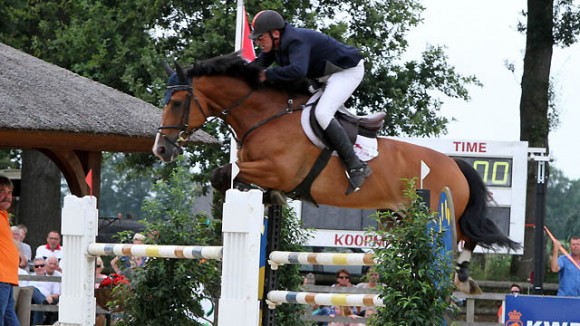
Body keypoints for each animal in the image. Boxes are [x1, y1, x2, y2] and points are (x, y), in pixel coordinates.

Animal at [152, 52, 520, 292]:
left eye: (176, 102)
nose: (161, 149)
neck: (265, 117)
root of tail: (453, 162)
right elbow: (229, 176)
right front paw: (263, 201)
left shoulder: (278, 170)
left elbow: (223, 174)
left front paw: (250, 202)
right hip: (396, 216)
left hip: (438, 211)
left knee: (465, 237)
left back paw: (462, 277)